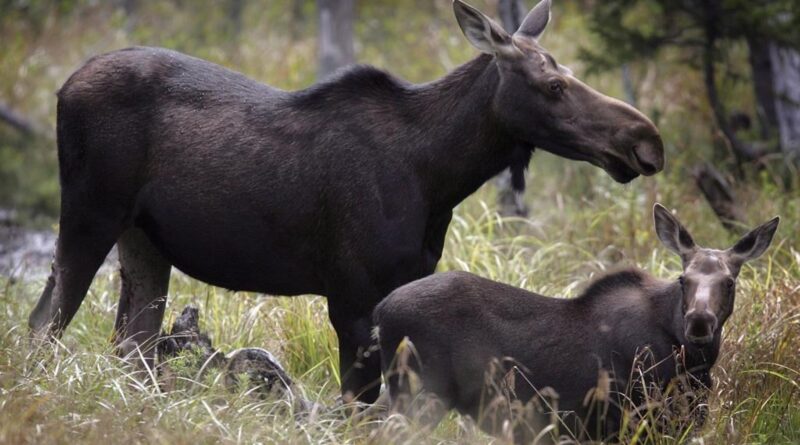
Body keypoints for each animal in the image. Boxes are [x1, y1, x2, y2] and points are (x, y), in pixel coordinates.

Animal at [28, 0, 664, 402]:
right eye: (554, 85)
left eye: (571, 72)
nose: (646, 140)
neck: (439, 175)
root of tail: (62, 87)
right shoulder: (354, 297)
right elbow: (357, 407)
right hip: (88, 215)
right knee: (44, 322)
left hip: (143, 241)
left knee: (130, 345)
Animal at [376, 204, 780, 440]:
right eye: (684, 279)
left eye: (729, 281)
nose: (698, 322)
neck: (695, 365)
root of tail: (380, 313)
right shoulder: (633, 421)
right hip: (419, 395)